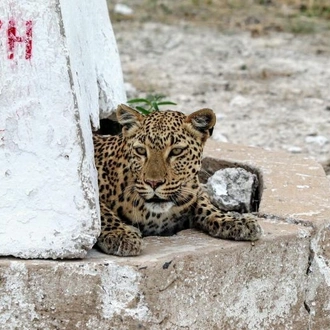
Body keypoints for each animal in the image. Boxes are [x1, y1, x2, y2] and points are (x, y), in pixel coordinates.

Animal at [92, 104, 260, 256]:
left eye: (176, 151)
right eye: (140, 150)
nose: (153, 183)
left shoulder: (195, 190)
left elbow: (206, 205)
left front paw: (235, 221)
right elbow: (100, 212)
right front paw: (120, 233)